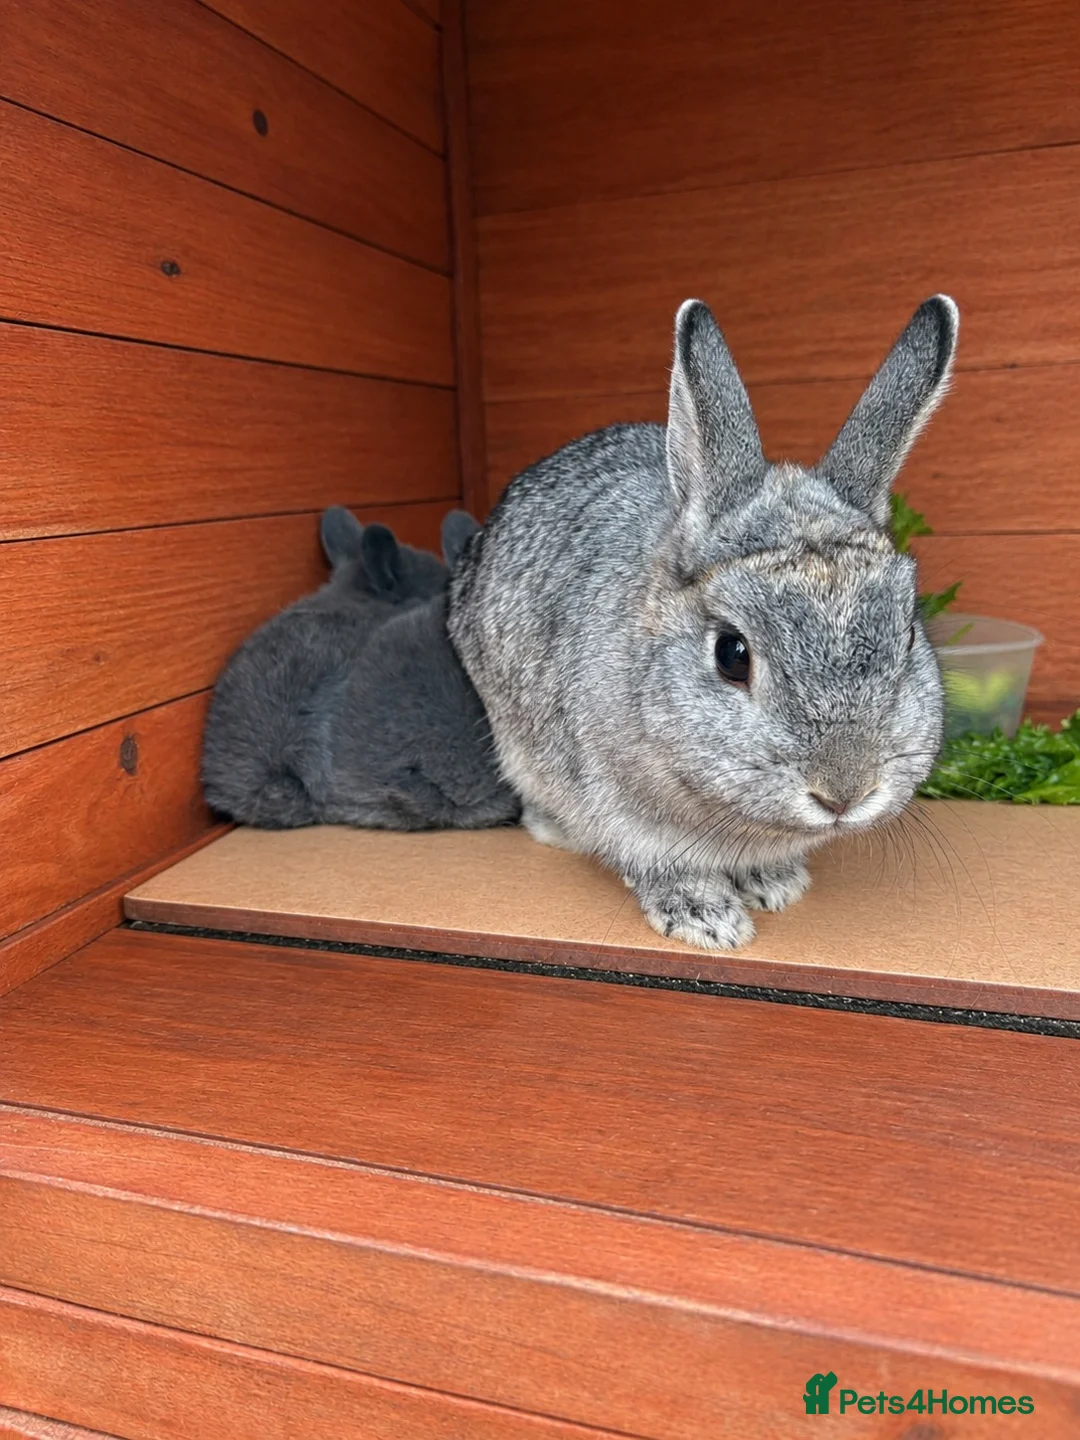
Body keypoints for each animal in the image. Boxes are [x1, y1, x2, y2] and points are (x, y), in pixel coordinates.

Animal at [448, 295, 958, 950]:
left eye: (910, 636)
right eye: (732, 654)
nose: (845, 792)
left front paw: (777, 885)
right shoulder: (624, 812)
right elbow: (662, 863)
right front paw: (709, 921)